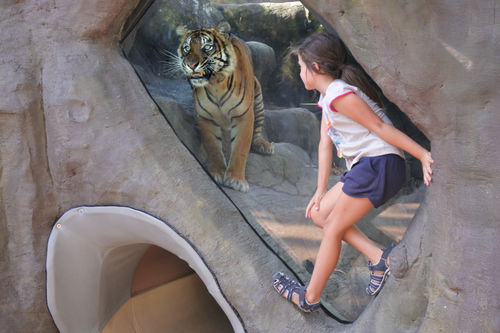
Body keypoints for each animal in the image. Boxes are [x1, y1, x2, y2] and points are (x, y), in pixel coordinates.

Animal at [175, 20, 274, 192]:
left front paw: (236, 180)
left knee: (257, 133)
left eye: (206, 47)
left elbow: (241, 148)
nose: (191, 64)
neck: (216, 85)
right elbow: (213, 147)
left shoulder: (244, 115)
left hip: (258, 98)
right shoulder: (205, 117)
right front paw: (217, 173)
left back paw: (264, 146)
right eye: (187, 48)